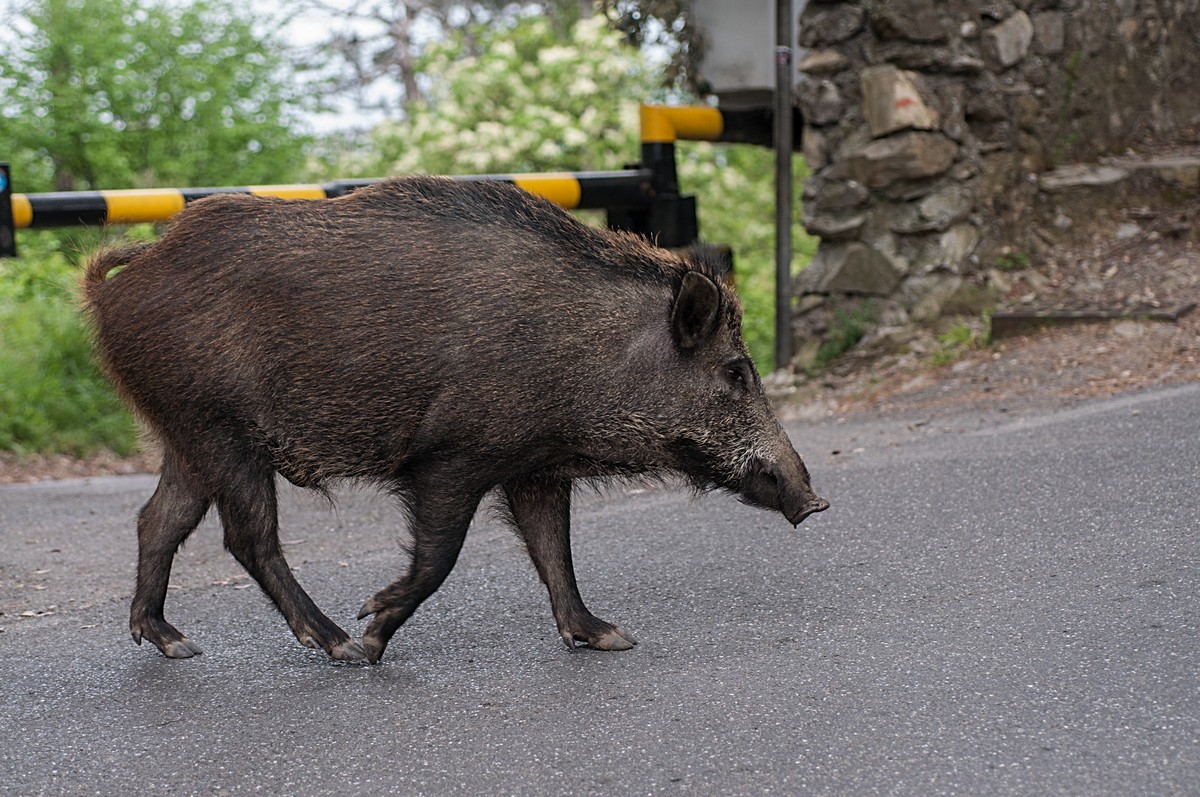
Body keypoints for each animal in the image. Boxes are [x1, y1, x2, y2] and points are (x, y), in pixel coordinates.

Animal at [81, 176, 828, 664]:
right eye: (736, 371)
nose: (815, 500)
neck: (586, 351)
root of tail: (118, 285)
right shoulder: (451, 457)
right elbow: (442, 556)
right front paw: (373, 629)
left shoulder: (534, 465)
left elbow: (556, 551)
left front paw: (611, 636)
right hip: (220, 427)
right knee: (247, 537)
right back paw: (338, 645)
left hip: (185, 433)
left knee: (157, 519)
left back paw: (176, 644)